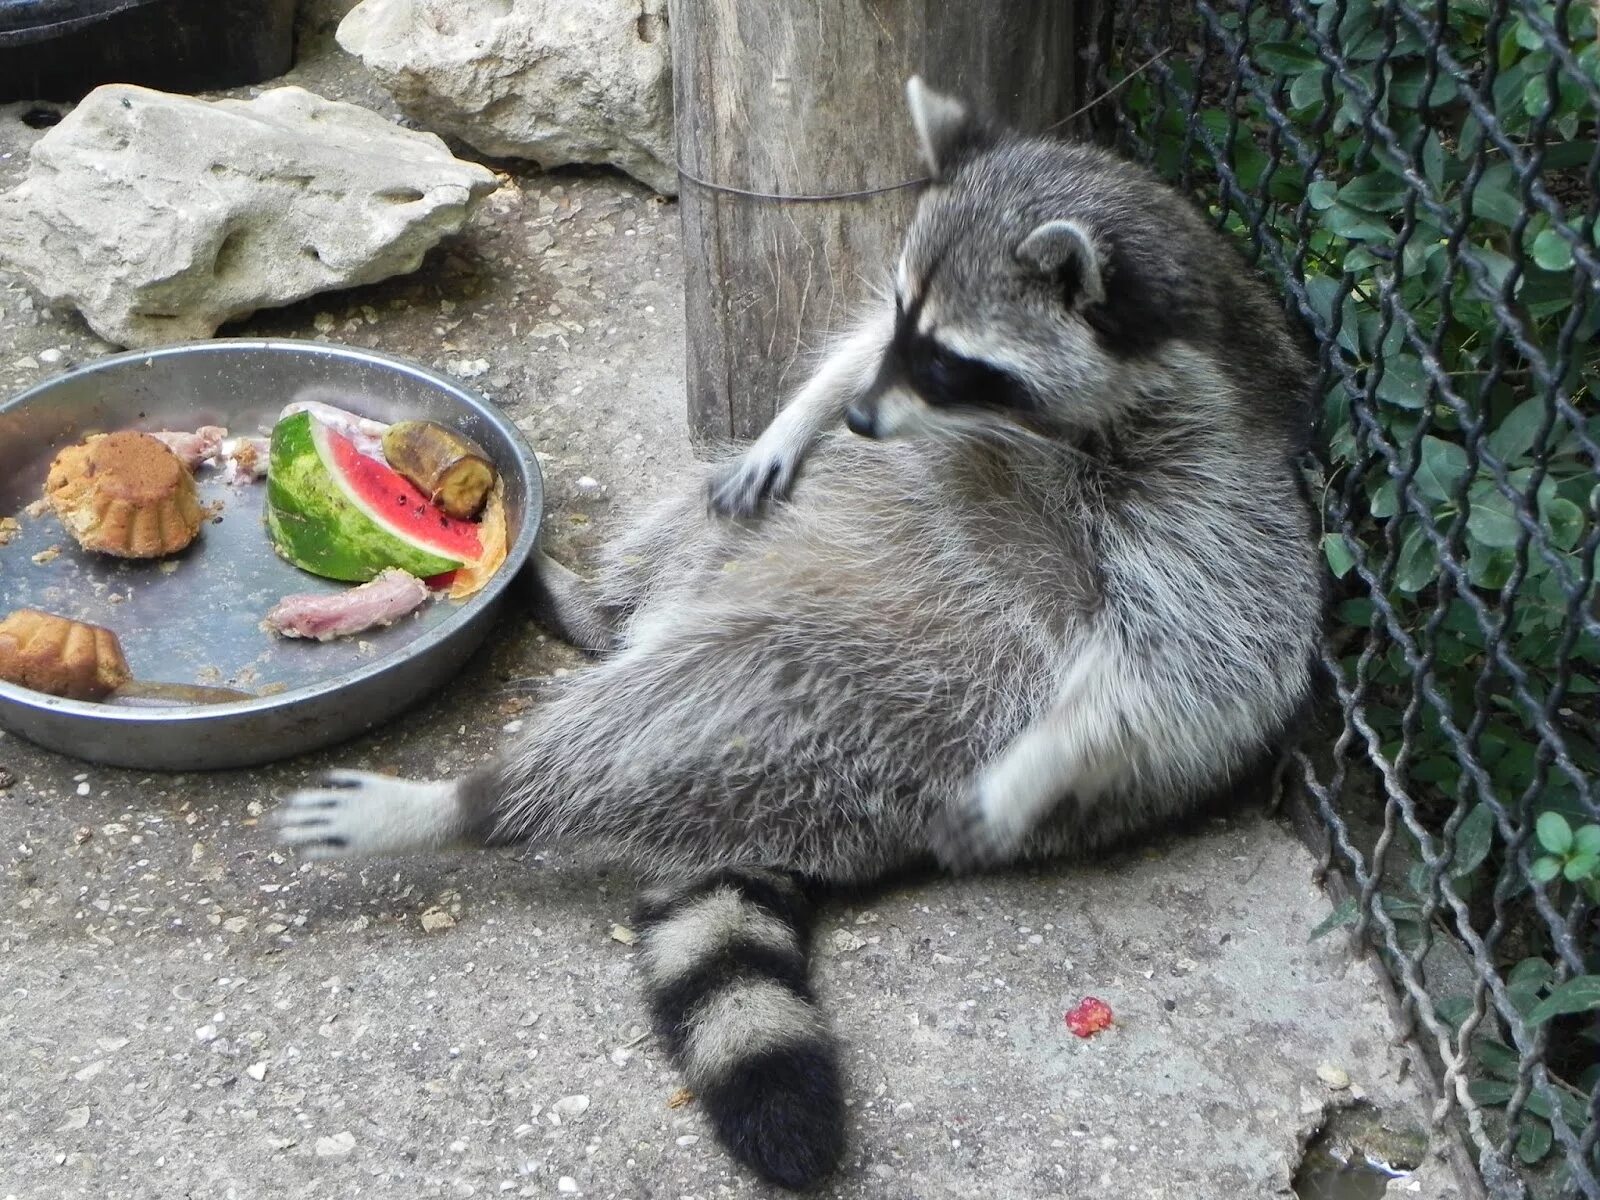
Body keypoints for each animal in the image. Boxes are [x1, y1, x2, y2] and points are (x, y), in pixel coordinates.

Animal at [278, 77, 1324, 1196]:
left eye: (954, 360)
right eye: (908, 319)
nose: (863, 416)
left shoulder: (1220, 506)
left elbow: (1187, 671)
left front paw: (1040, 760)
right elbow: (842, 359)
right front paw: (809, 406)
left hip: (865, 693)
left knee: (671, 713)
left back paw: (476, 802)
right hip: (798, 536)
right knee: (708, 525)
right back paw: (604, 610)